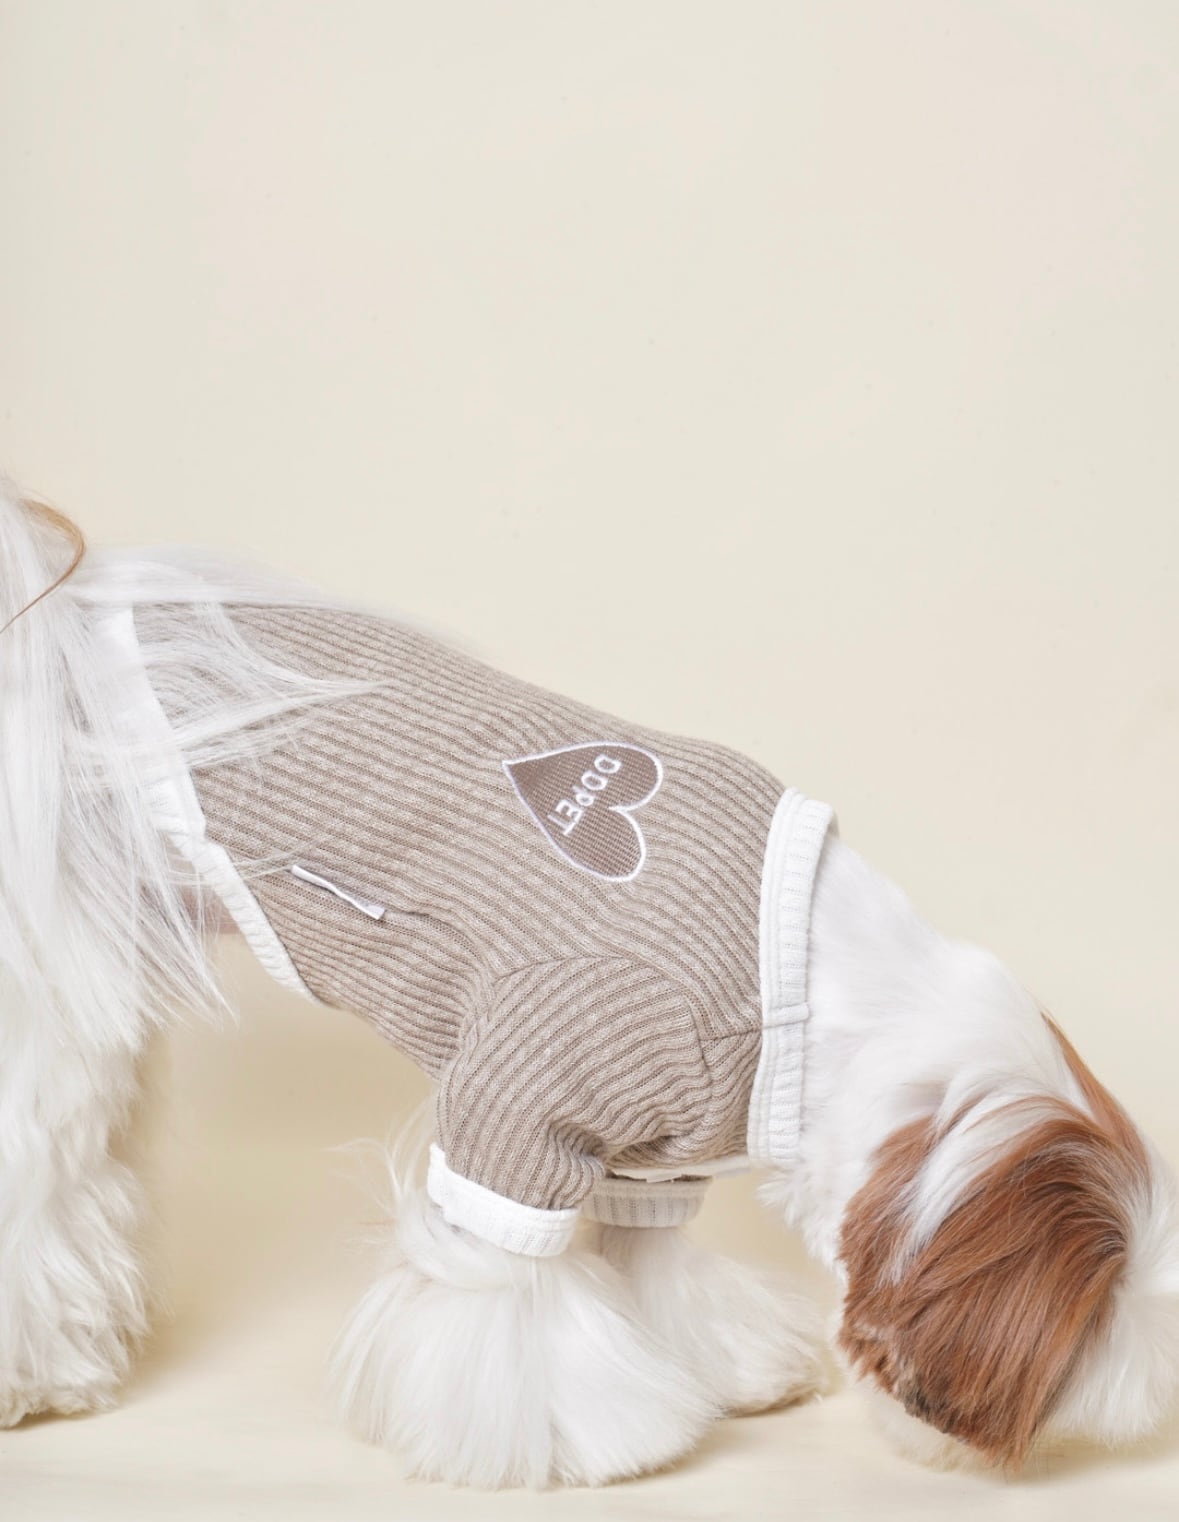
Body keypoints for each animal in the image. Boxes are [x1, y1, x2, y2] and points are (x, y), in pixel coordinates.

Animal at [2, 484, 1177, 1487]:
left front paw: (703, 1362)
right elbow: (502, 1297)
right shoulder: (521, 1100)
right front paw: (575, 1438)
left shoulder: (655, 1152)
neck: (813, 993)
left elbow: (647, 1262)